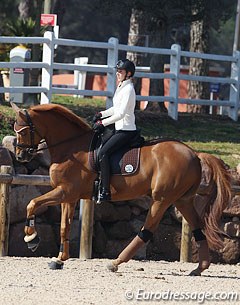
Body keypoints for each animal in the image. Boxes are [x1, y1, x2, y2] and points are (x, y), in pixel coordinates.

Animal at [10, 101, 231, 274]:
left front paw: (31, 238)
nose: (21, 156)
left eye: (23, 131)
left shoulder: (65, 191)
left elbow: (32, 203)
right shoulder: (69, 196)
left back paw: (115, 262)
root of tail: (194, 153)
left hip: (161, 199)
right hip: (182, 200)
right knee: (197, 227)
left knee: (147, 230)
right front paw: (59, 259)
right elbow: (65, 226)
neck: (71, 148)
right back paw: (200, 267)